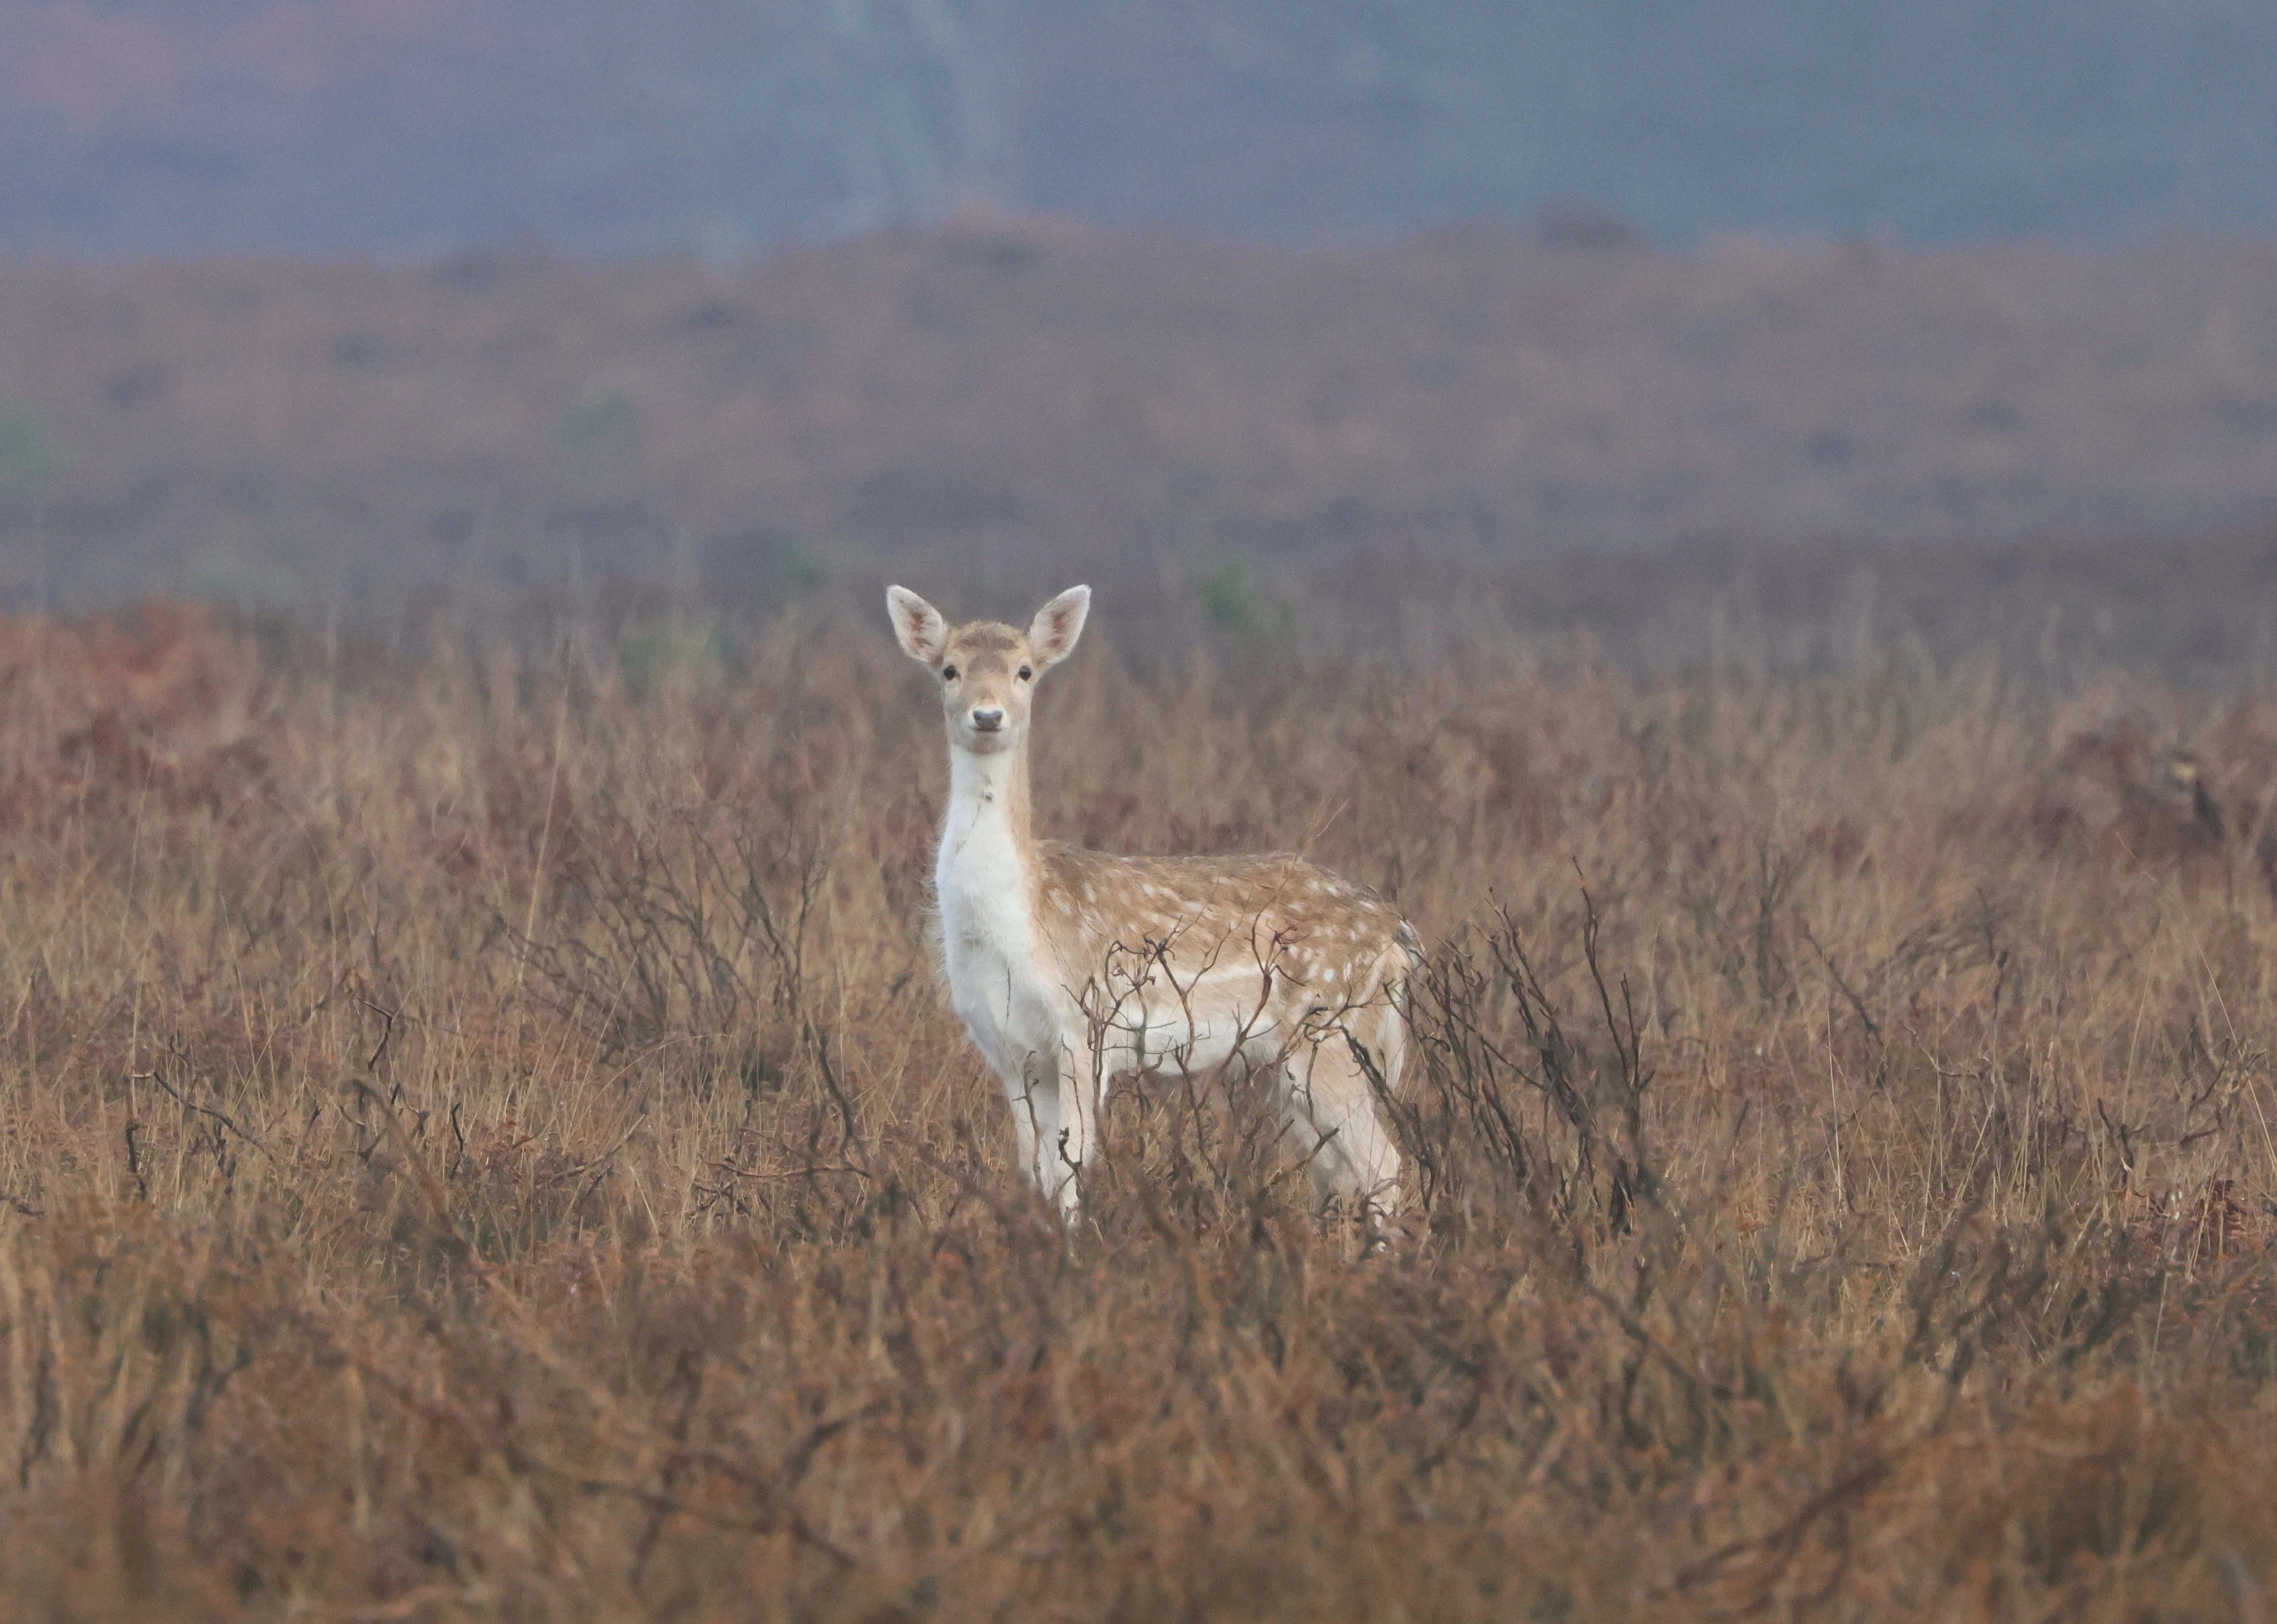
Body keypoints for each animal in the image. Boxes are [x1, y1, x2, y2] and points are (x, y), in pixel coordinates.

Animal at [887, 583, 1418, 1233]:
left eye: (1025, 671)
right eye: (949, 669)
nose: (987, 716)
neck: (1016, 928)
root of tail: (1398, 940)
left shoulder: (1082, 1025)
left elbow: (1071, 1163)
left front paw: (1072, 1247)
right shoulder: (1007, 1049)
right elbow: (1033, 1168)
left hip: (1331, 1028)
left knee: (1384, 1163)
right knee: (1339, 1168)